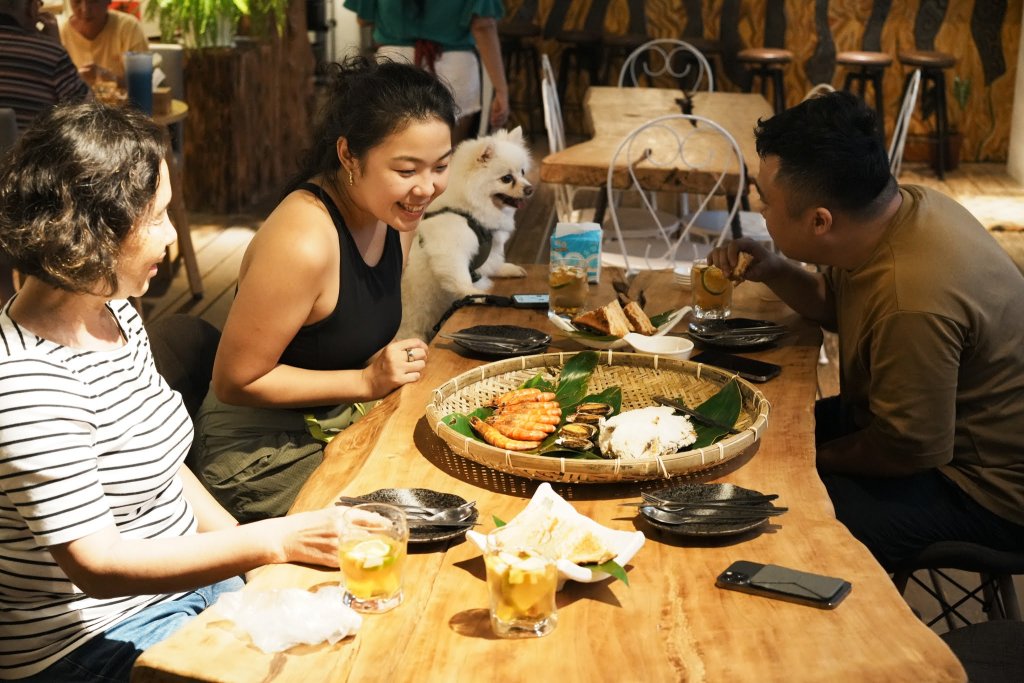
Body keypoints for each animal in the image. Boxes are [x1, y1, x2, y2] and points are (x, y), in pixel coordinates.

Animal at [395, 127, 532, 342]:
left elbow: (492, 262)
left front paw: (507, 269)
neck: (469, 210)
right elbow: (461, 278)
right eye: (507, 178)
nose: (530, 188)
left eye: (523, 172)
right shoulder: (451, 248)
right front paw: (475, 294)